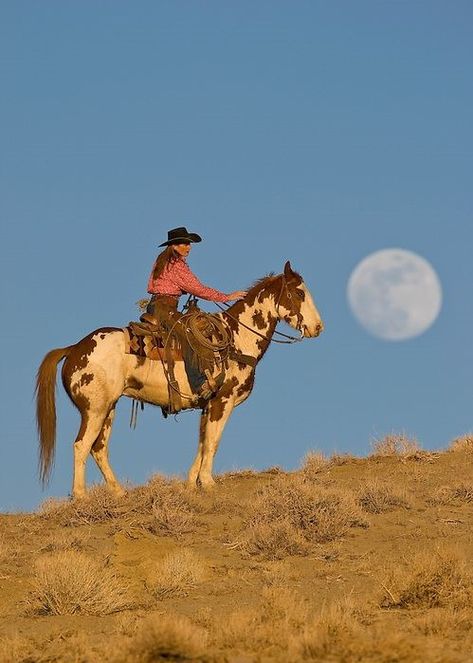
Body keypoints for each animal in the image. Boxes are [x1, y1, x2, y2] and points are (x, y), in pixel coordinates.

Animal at [37, 264, 322, 498]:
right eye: (299, 294)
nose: (318, 327)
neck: (236, 339)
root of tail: (74, 349)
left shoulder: (207, 406)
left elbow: (203, 442)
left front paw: (192, 483)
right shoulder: (223, 401)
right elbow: (213, 441)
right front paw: (208, 482)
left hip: (108, 409)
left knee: (99, 448)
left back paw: (119, 493)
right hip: (94, 410)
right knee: (81, 445)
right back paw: (80, 496)